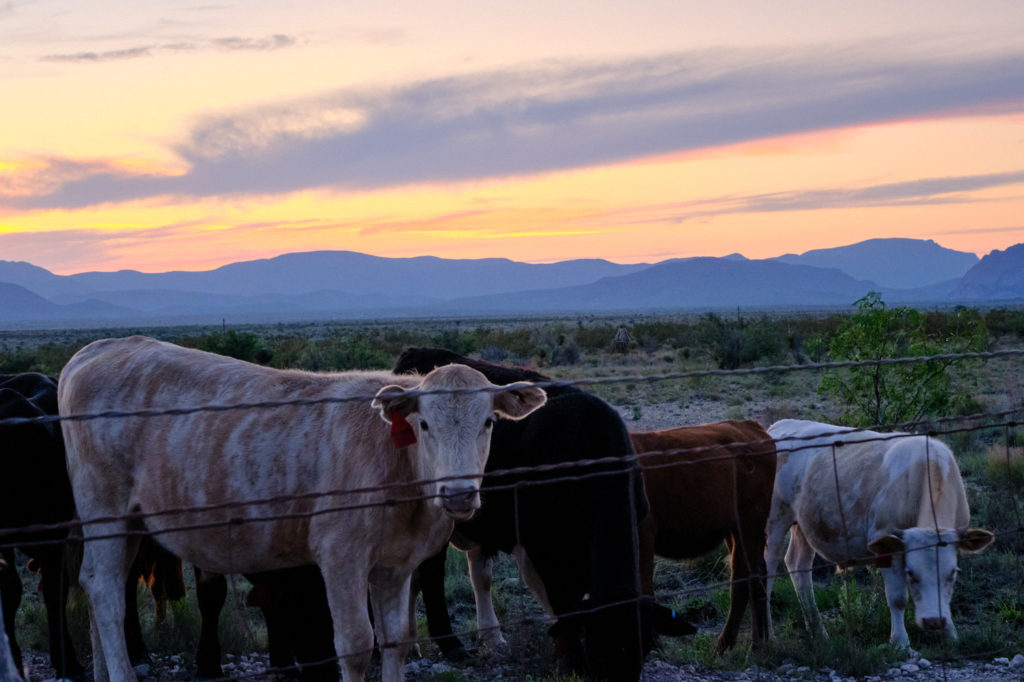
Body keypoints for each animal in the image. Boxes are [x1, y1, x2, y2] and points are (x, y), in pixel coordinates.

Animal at [58, 335, 548, 679]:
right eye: (423, 424)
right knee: (105, 593)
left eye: (489, 423)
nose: (459, 494)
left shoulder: (396, 564)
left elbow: (396, 639)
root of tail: (101, 347)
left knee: (96, 584)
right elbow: (356, 643)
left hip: (126, 522)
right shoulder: (341, 554)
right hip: (104, 505)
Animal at [391, 348, 655, 675]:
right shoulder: (545, 549)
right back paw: (449, 644)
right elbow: (562, 602)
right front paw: (570, 658)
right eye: (603, 650)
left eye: (641, 648)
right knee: (429, 574)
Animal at [770, 417, 991, 647]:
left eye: (952, 574)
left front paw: (950, 633)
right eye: (911, 574)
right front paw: (900, 642)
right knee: (769, 567)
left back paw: (818, 632)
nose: (933, 621)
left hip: (804, 524)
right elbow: (897, 598)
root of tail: (782, 424)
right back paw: (769, 636)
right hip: (776, 517)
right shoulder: (887, 543)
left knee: (798, 565)